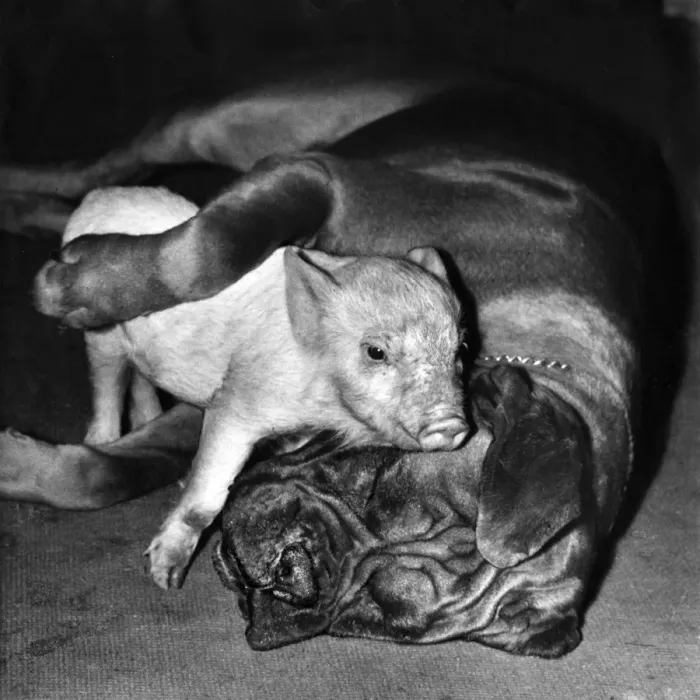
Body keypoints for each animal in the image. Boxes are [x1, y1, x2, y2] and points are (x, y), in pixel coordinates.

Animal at [62, 186, 468, 589]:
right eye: (376, 351)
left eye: (460, 348)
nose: (453, 424)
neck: (324, 401)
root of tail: (98, 196)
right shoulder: (236, 402)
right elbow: (206, 496)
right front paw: (164, 578)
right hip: (100, 335)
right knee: (106, 386)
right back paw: (102, 441)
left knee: (141, 382)